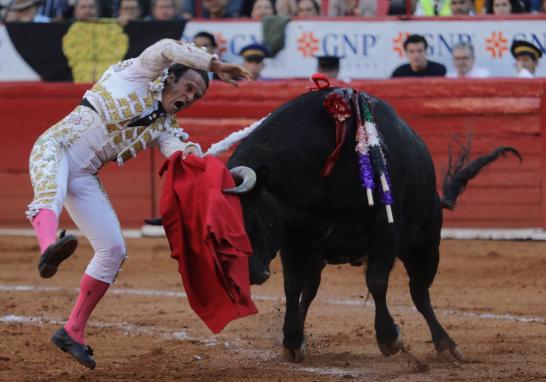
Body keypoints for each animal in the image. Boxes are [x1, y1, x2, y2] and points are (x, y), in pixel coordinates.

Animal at [224, 88, 516, 362]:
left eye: (246, 216)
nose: (248, 274)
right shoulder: (294, 238)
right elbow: (293, 286)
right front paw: (292, 341)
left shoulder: (385, 226)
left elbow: (376, 280)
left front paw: (389, 338)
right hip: (319, 257)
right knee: (309, 291)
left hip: (426, 245)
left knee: (419, 292)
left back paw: (446, 344)